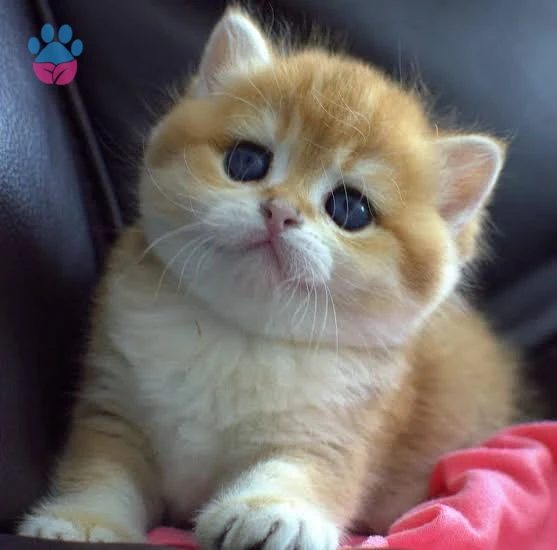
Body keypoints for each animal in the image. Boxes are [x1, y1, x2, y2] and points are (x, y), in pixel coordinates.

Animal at [18, 7, 520, 550]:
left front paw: (273, 512)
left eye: (350, 209)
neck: (238, 336)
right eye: (246, 161)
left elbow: (298, 472)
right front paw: (86, 521)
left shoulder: (333, 435)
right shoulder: (115, 408)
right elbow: (102, 470)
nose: (279, 211)